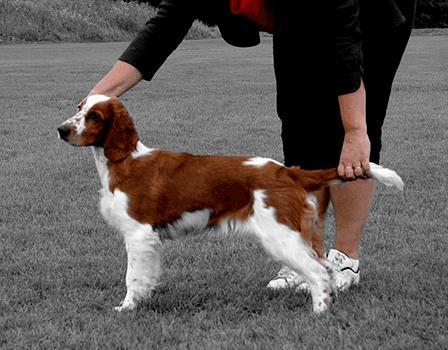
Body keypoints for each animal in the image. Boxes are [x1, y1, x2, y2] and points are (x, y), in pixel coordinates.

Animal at [57, 94, 404, 314]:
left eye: (95, 116)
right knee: (325, 267)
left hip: (280, 235)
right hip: (301, 234)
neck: (124, 161)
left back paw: (318, 314)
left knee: (318, 273)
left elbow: (133, 277)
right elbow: (147, 276)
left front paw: (126, 308)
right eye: (79, 107)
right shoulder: (150, 240)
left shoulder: (138, 235)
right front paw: (143, 302)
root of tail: (288, 171)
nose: (61, 130)